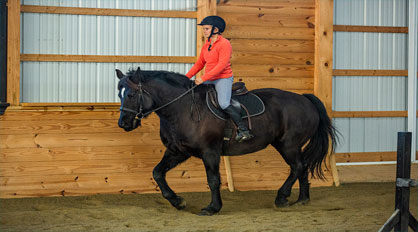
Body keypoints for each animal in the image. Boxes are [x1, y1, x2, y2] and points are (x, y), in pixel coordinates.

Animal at [116, 67, 338, 216]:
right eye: (119, 94)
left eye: (131, 94)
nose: (123, 123)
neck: (182, 108)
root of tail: (305, 99)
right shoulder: (177, 151)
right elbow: (158, 173)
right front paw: (178, 201)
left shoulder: (210, 152)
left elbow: (213, 180)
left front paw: (212, 208)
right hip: (289, 146)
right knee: (302, 166)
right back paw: (302, 199)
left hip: (289, 145)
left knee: (298, 166)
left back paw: (282, 197)